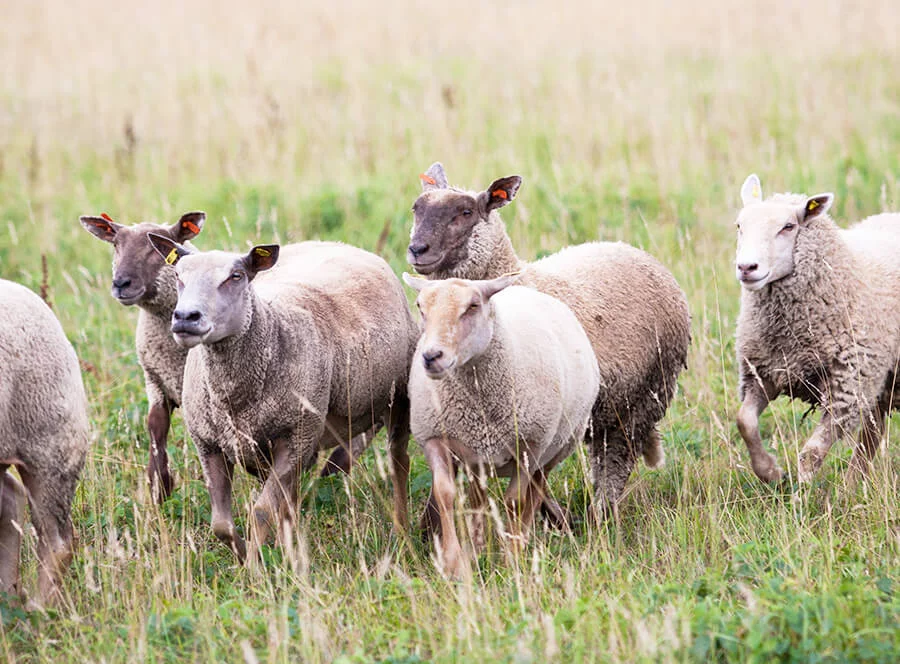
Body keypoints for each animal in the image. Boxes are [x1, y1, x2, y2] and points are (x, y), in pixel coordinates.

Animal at [149, 235, 422, 560]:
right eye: (178, 276)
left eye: (236, 276)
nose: (185, 318)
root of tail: (338, 243)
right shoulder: (209, 444)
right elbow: (221, 525)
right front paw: (245, 552)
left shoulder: (294, 439)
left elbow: (262, 511)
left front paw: (254, 564)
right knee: (291, 496)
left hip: (398, 398)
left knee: (399, 463)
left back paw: (402, 531)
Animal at [404, 272, 600, 580]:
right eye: (420, 307)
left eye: (473, 306)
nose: (431, 356)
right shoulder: (435, 438)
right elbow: (445, 495)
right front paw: (455, 563)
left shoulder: (530, 446)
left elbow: (514, 501)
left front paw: (510, 558)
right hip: (477, 458)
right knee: (479, 499)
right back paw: (476, 548)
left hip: (554, 448)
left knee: (536, 490)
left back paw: (520, 540)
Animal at [408, 162, 688, 524]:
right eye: (416, 208)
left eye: (466, 212)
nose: (417, 250)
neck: (513, 274)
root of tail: (636, 251)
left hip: (639, 401)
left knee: (613, 464)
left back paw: (600, 520)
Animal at [732, 171, 900, 482]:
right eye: (739, 226)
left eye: (788, 227)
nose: (747, 268)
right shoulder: (763, 372)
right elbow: (744, 422)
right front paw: (770, 472)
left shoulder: (846, 388)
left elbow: (812, 452)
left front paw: (803, 492)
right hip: (883, 381)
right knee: (871, 433)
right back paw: (853, 483)